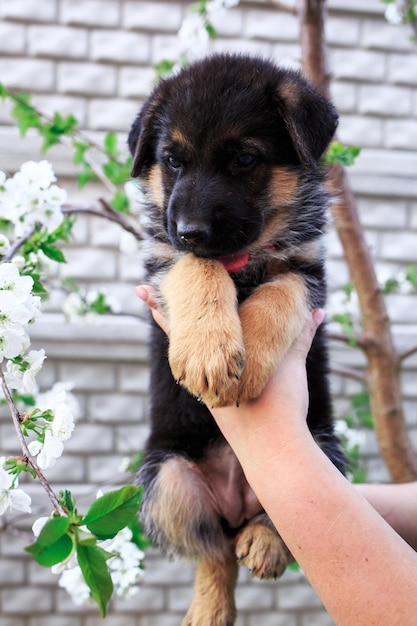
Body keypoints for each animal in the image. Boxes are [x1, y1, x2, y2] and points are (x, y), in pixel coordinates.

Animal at [129, 53, 344, 624]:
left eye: (245, 159)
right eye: (172, 161)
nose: (190, 229)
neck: (243, 258)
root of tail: (236, 499)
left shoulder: (307, 272)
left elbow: (279, 292)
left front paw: (248, 365)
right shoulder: (166, 258)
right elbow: (198, 270)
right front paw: (208, 352)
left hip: (324, 452)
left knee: (276, 517)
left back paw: (266, 539)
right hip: (169, 481)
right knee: (214, 551)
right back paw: (209, 607)